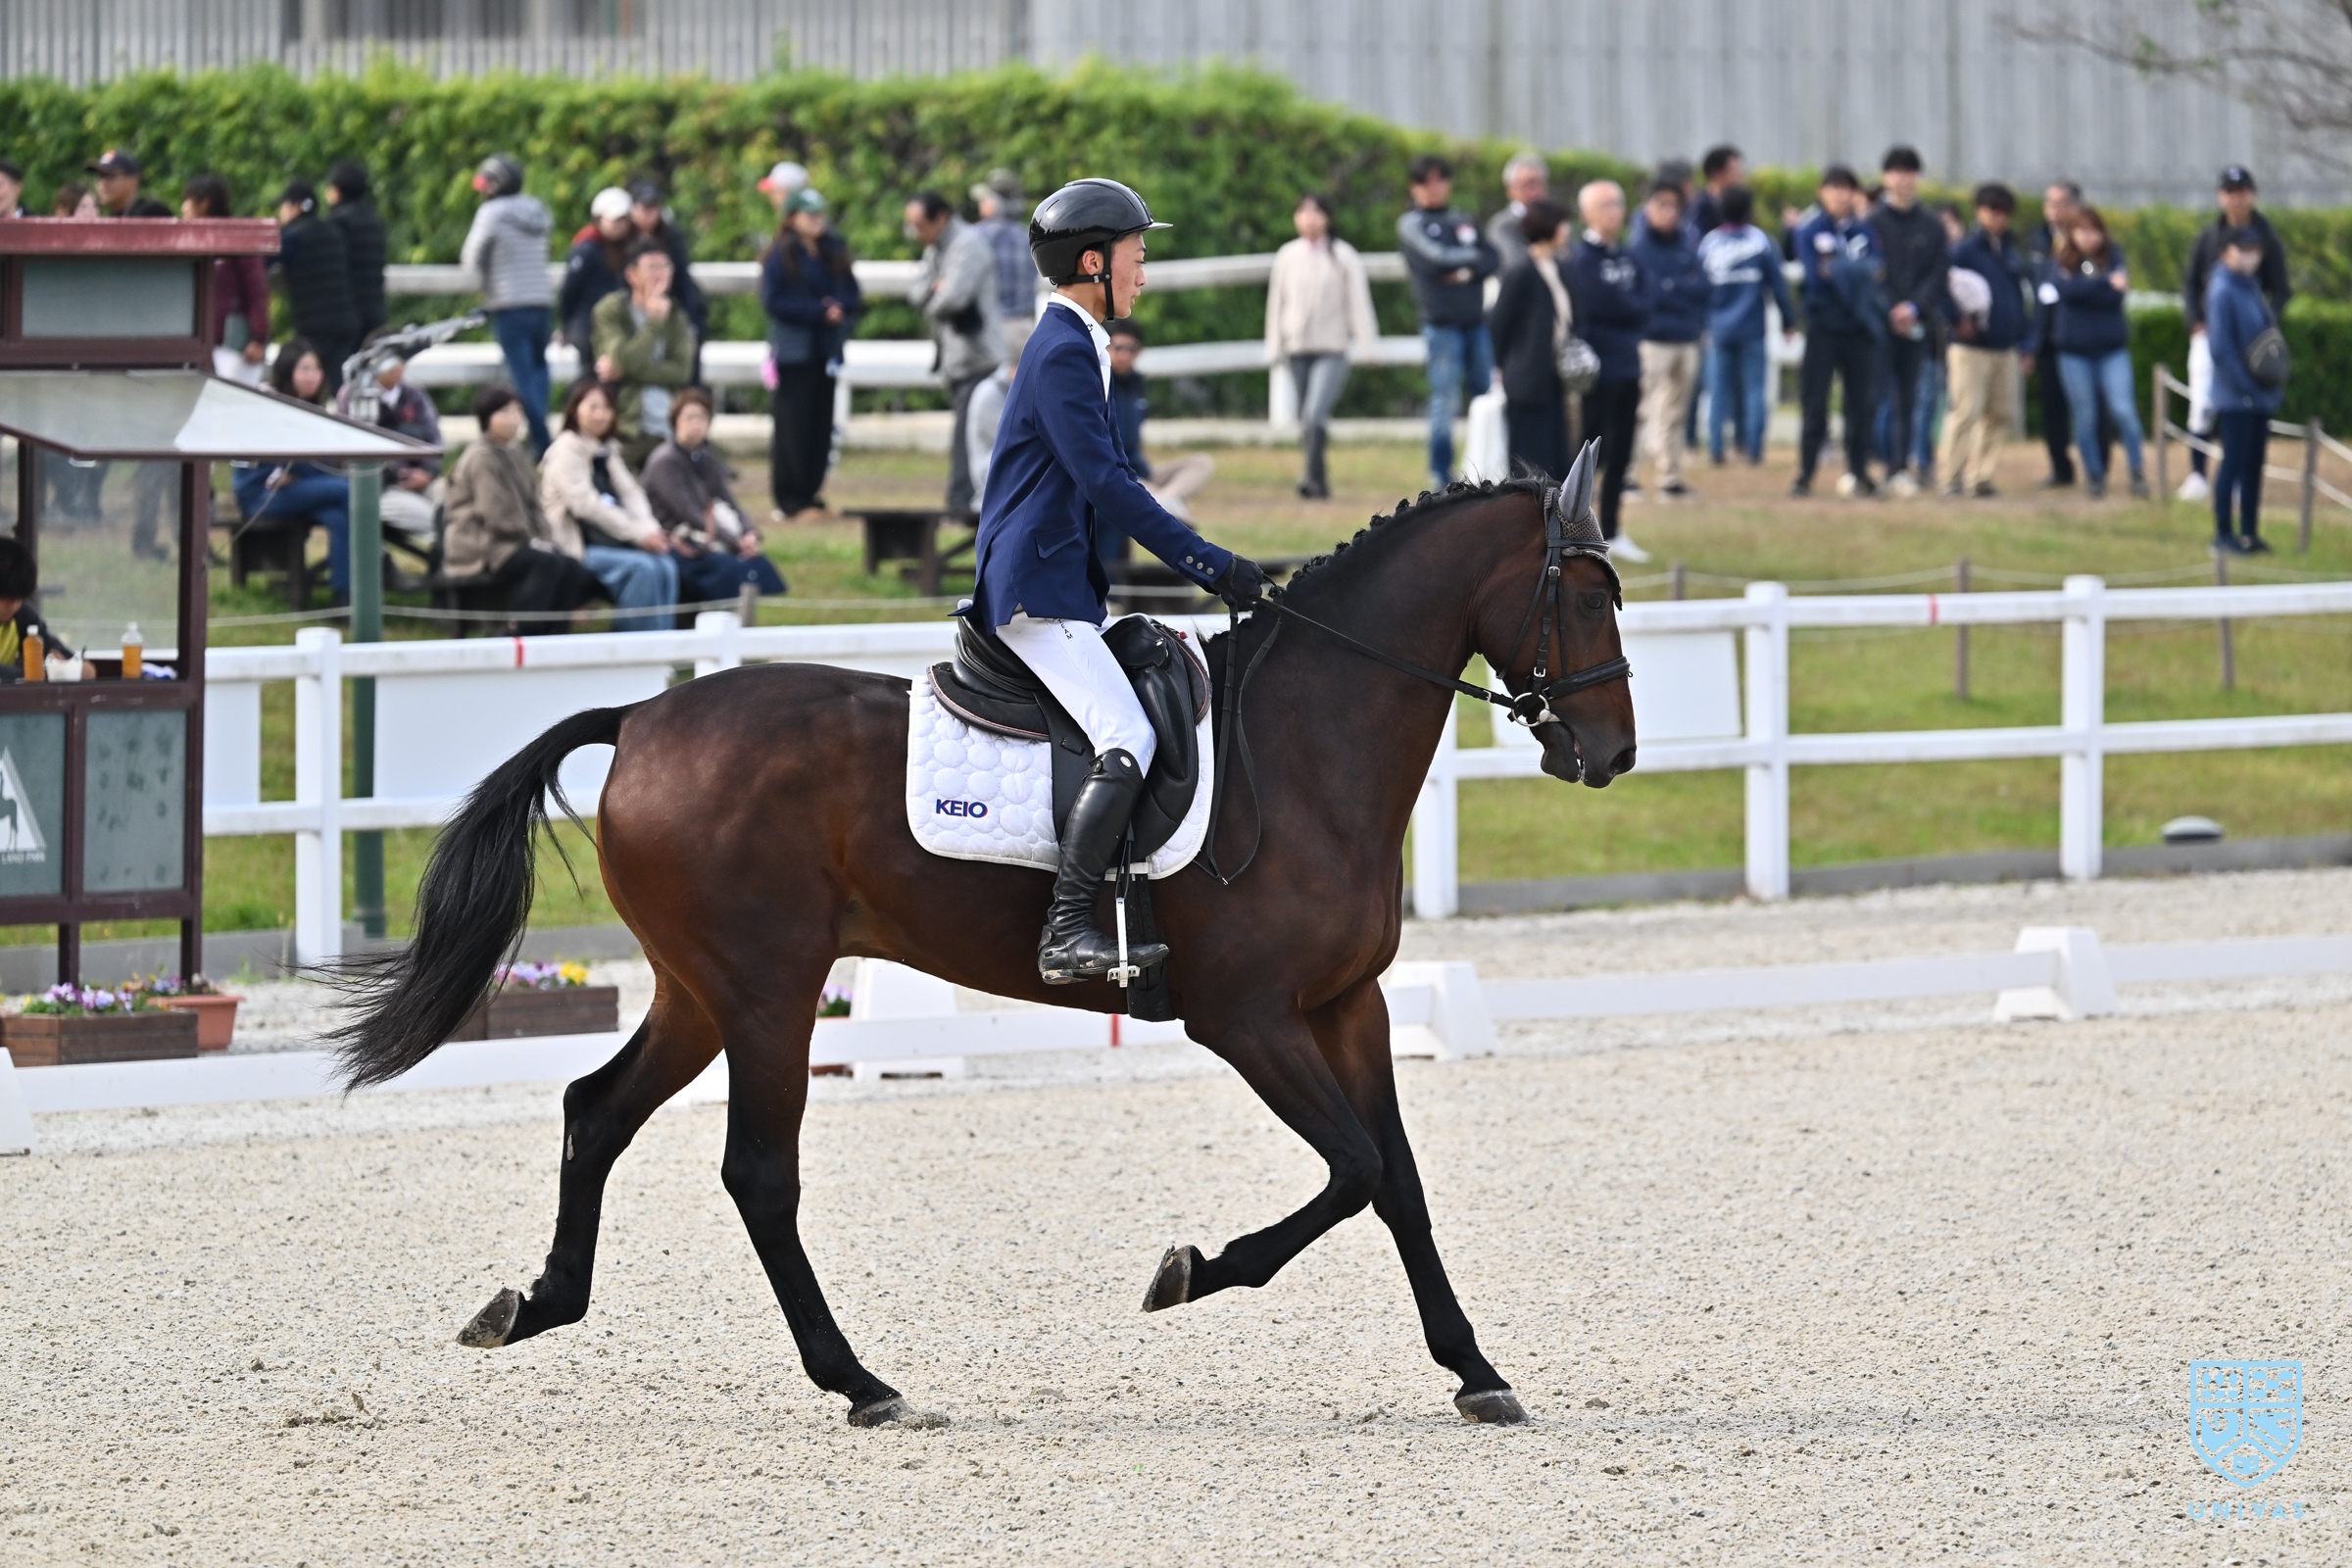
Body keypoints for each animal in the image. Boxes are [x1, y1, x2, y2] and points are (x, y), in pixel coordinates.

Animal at [333, 463, 1638, 1429]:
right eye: (1584, 597)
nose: (1613, 755)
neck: (1308, 743)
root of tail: (645, 716)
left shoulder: (1345, 1005)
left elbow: (1399, 1182)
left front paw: (1477, 1370)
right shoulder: (1251, 1017)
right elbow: (1355, 1169)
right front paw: (1189, 1271)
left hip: (699, 990)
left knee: (596, 1111)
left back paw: (535, 1304)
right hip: (769, 990)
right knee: (758, 1173)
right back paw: (860, 1383)